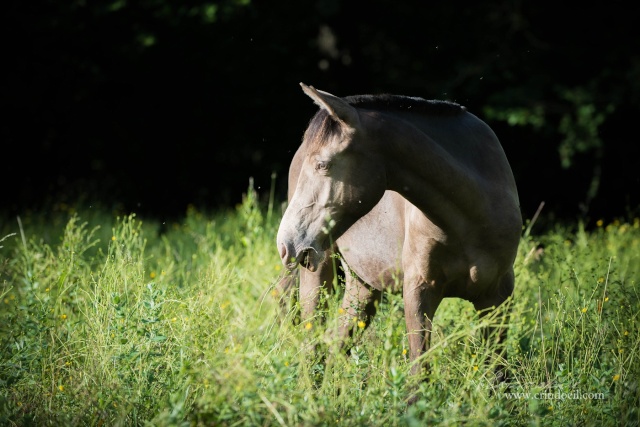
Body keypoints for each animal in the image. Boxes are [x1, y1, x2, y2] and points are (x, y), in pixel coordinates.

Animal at [276, 83, 520, 398]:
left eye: (322, 164)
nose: (286, 244)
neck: (474, 211)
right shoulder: (419, 289)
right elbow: (419, 371)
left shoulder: (498, 296)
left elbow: (498, 374)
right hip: (318, 277)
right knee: (312, 345)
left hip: (362, 288)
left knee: (335, 345)